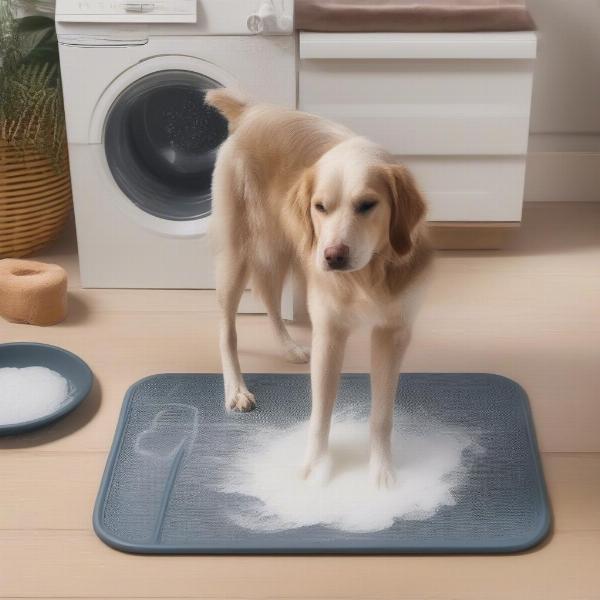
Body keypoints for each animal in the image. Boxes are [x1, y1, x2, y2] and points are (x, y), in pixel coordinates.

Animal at [206, 89, 432, 488]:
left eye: (368, 205)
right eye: (320, 207)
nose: (333, 256)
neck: (367, 275)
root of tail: (251, 112)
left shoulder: (393, 334)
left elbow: (382, 416)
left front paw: (382, 473)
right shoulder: (330, 332)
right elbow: (321, 415)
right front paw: (314, 470)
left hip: (280, 250)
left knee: (269, 297)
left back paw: (288, 347)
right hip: (238, 254)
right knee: (226, 328)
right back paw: (235, 389)